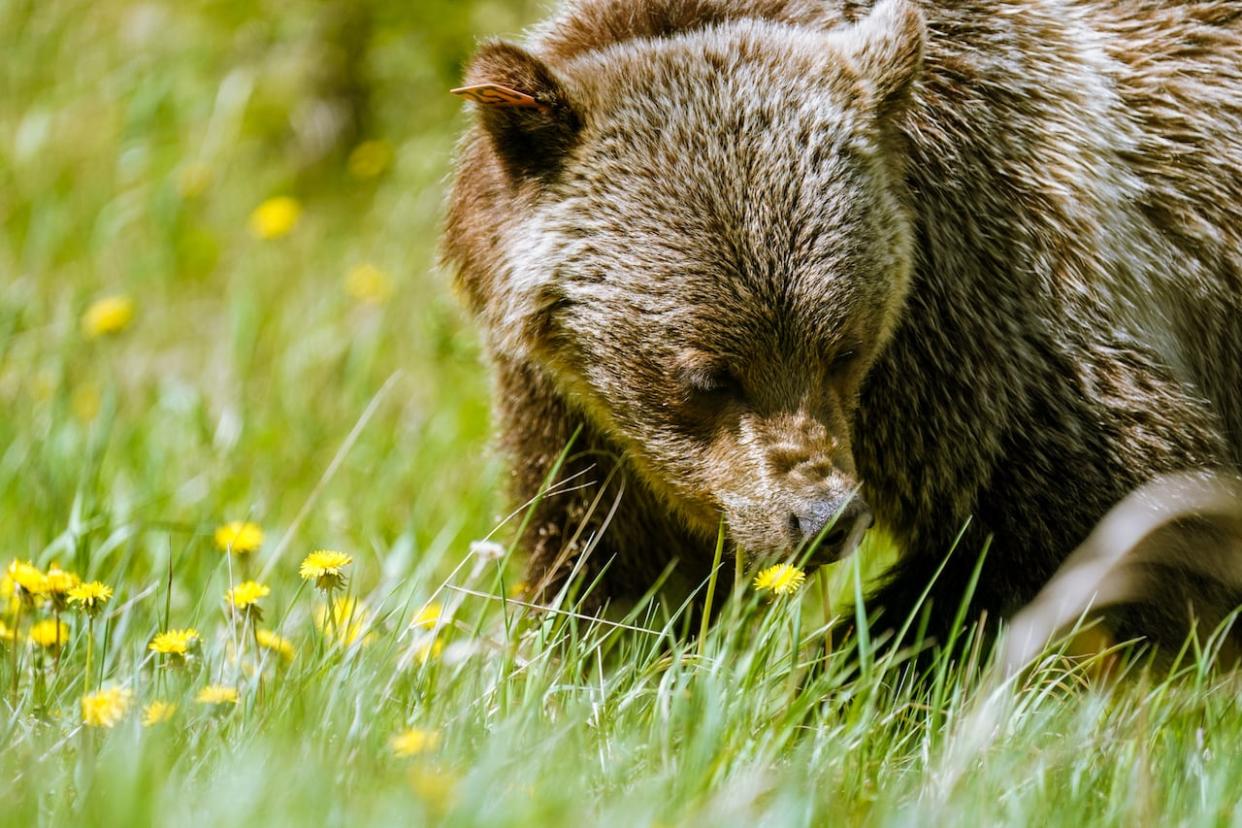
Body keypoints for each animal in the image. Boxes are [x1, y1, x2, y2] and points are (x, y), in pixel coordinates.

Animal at [447, 0, 1242, 645]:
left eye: (843, 349)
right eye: (707, 375)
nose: (821, 519)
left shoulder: (996, 325)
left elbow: (1108, 516)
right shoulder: (576, 410)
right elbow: (612, 557)